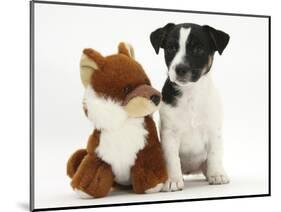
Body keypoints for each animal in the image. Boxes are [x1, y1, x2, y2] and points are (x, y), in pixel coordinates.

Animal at [150, 23, 229, 192]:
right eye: (171, 48)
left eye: (198, 49)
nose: (180, 69)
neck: (190, 93)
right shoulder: (169, 134)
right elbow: (171, 158)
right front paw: (172, 180)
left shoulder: (213, 131)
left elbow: (214, 154)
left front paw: (217, 174)